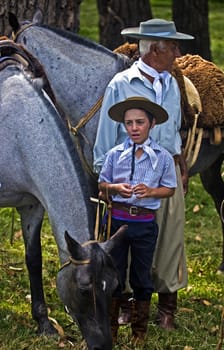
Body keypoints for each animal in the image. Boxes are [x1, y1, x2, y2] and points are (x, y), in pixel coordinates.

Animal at [0, 46, 126, 350]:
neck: (18, 130)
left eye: (114, 286)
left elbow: (33, 258)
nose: (103, 345)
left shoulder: (32, 204)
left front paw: (43, 322)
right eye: (84, 289)